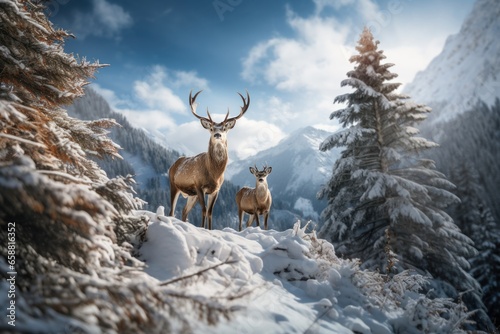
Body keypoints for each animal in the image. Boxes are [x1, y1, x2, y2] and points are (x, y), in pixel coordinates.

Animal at [169, 89, 249, 230]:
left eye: (224, 128)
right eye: (211, 128)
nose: (217, 134)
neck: (214, 173)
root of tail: (173, 164)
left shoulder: (216, 190)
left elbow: (210, 211)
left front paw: (210, 229)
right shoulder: (199, 185)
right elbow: (204, 209)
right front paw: (202, 228)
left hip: (192, 194)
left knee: (184, 211)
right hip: (173, 185)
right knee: (172, 211)